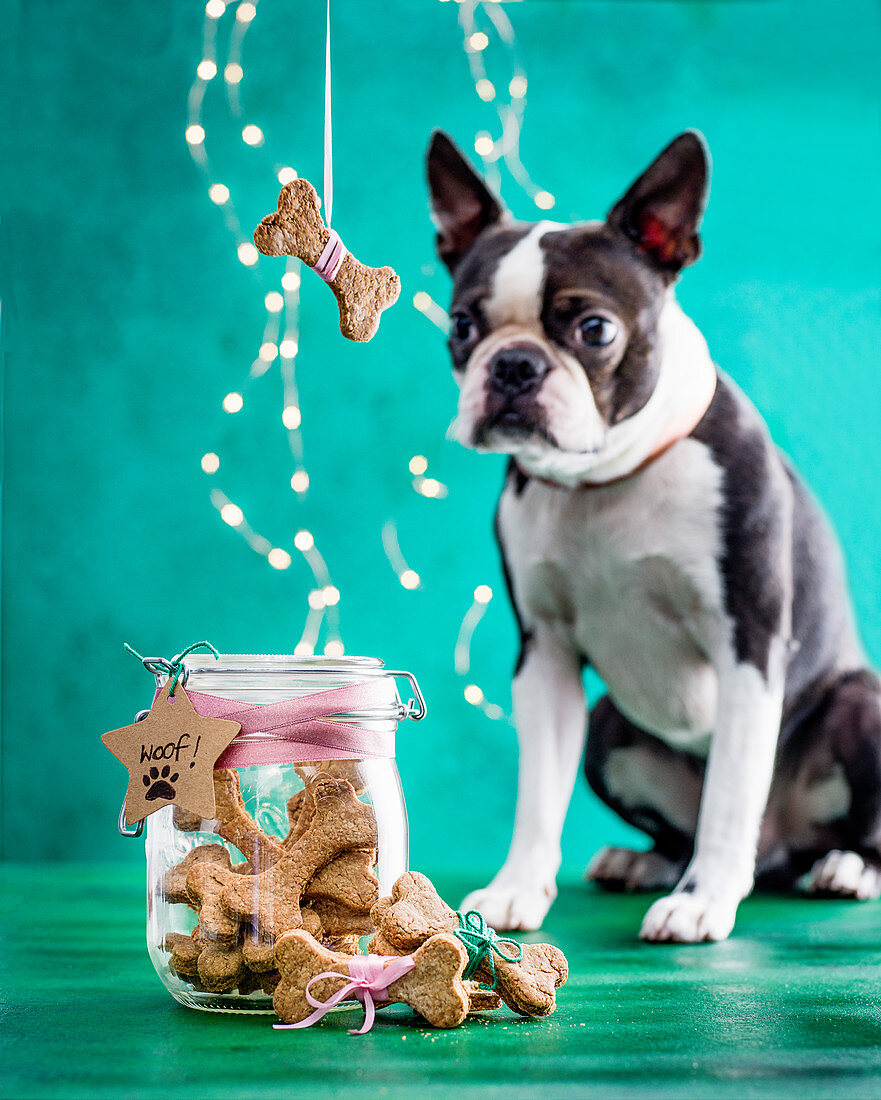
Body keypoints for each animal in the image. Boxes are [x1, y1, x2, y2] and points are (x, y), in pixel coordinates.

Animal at [428, 124, 879, 941]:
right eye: (461, 326)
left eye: (594, 329)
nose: (513, 366)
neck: (604, 480)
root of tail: (782, 850)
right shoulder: (543, 656)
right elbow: (536, 796)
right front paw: (516, 890)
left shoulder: (748, 643)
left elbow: (731, 793)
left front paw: (703, 902)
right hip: (608, 727)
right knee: (682, 828)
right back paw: (645, 862)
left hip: (863, 707)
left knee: (830, 829)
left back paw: (845, 868)